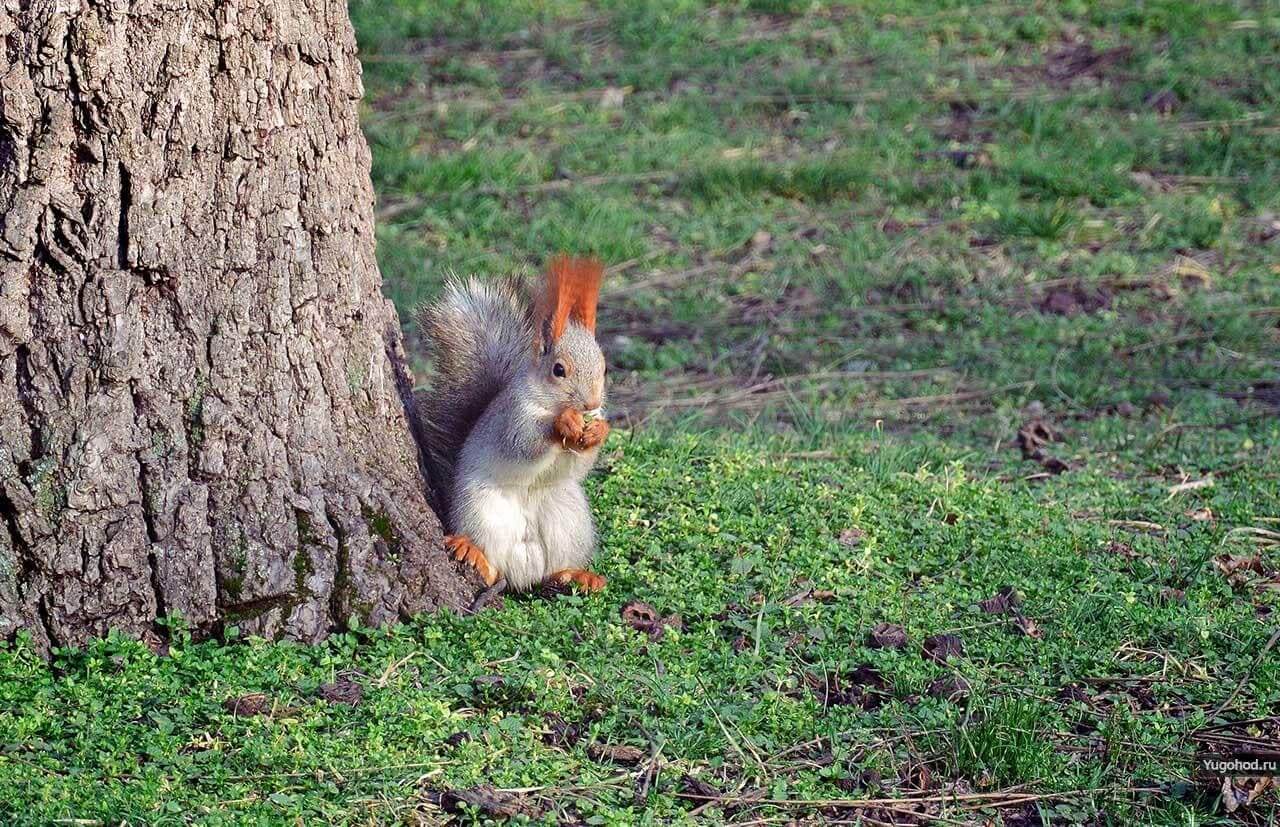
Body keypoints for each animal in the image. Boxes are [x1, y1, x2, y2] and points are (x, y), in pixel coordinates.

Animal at [412, 256, 606, 594]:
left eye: (604, 367)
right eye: (559, 370)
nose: (592, 404)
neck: (550, 403)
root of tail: (523, 575)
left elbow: (580, 465)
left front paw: (598, 431)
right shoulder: (513, 415)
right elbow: (522, 444)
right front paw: (563, 423)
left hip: (568, 518)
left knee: (553, 570)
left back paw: (574, 574)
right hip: (480, 511)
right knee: (492, 566)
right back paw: (476, 556)